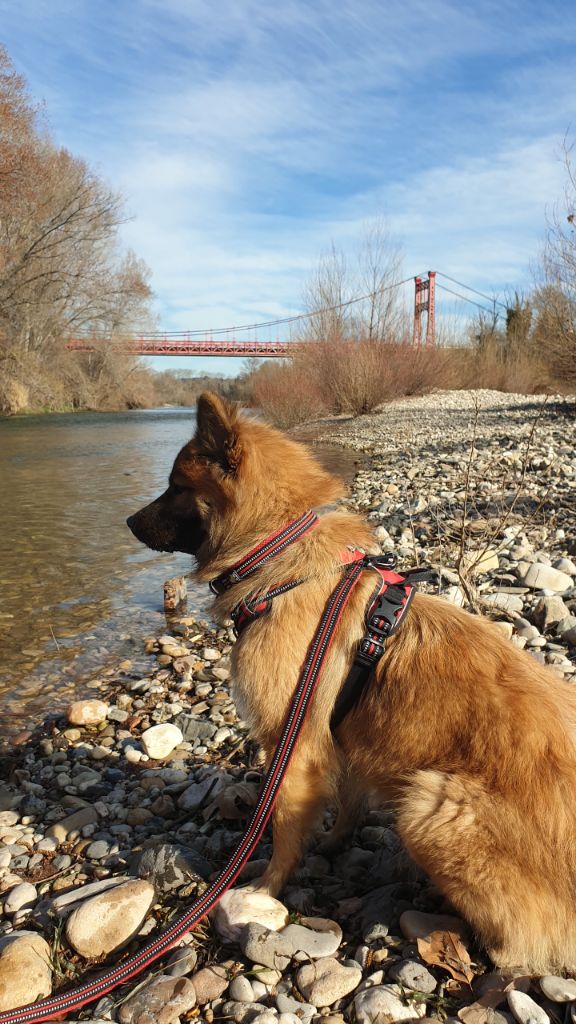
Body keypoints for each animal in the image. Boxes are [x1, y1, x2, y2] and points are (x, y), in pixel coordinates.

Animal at [127, 391, 573, 974]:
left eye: (177, 486)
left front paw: (266, 889)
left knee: (522, 943)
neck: (282, 563)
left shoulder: (291, 745)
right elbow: (347, 801)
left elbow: (284, 825)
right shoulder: (341, 741)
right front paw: (335, 843)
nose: (128, 522)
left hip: (430, 806)